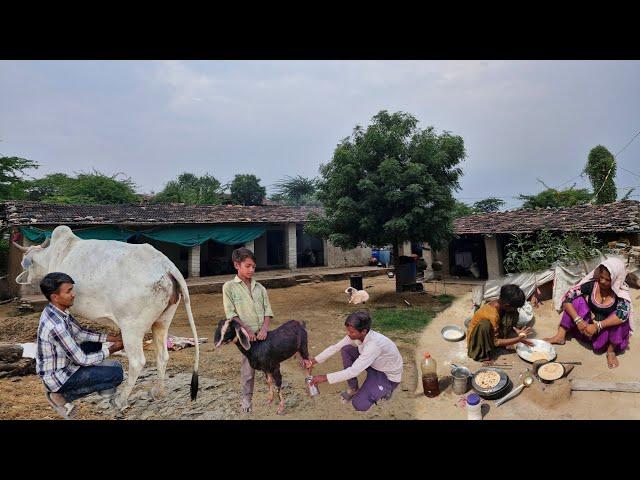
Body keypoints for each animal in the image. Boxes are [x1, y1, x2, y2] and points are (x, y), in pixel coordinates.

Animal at [15, 226, 200, 408]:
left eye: (26, 263)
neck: (53, 254)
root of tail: (166, 266)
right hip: (162, 321)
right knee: (162, 356)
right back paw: (157, 392)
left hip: (132, 327)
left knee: (137, 362)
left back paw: (120, 400)